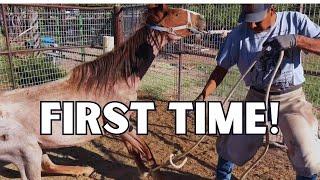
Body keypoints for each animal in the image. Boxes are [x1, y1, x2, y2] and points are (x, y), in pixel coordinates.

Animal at [0, 4, 205, 180]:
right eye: (176, 13)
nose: (201, 19)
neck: (115, 82)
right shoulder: (118, 125)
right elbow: (145, 149)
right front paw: (152, 172)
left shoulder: (125, 125)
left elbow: (135, 150)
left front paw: (144, 171)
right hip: (29, 153)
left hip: (40, 148)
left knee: (49, 165)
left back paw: (85, 170)